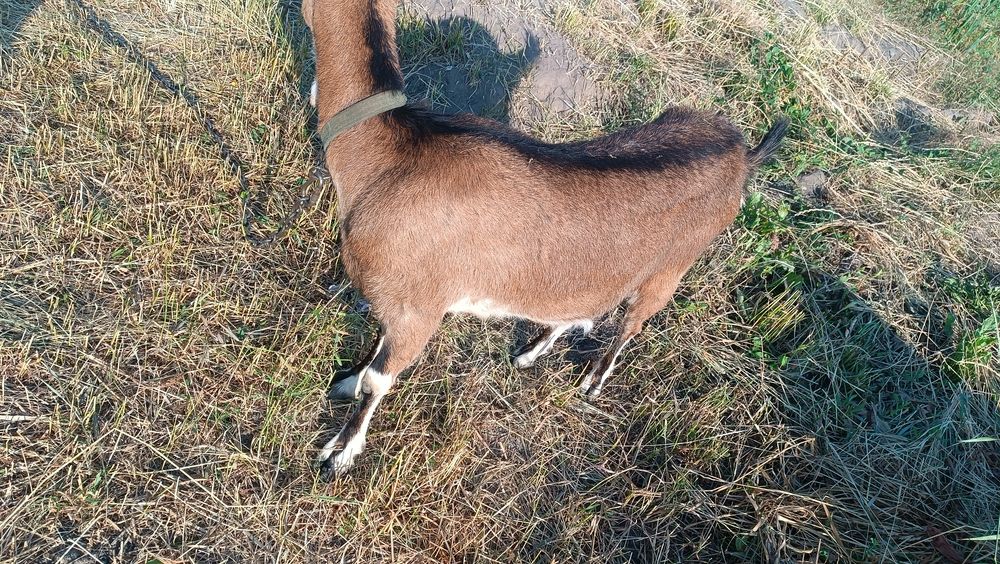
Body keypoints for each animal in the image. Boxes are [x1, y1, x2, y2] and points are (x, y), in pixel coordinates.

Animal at [300, 0, 789, 475]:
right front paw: (344, 383)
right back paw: (530, 353)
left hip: (669, 270)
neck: (389, 157)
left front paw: (340, 452)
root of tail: (743, 155)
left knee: (630, 325)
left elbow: (378, 379)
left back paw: (593, 381)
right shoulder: (397, 301)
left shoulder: (420, 310)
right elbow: (372, 355)